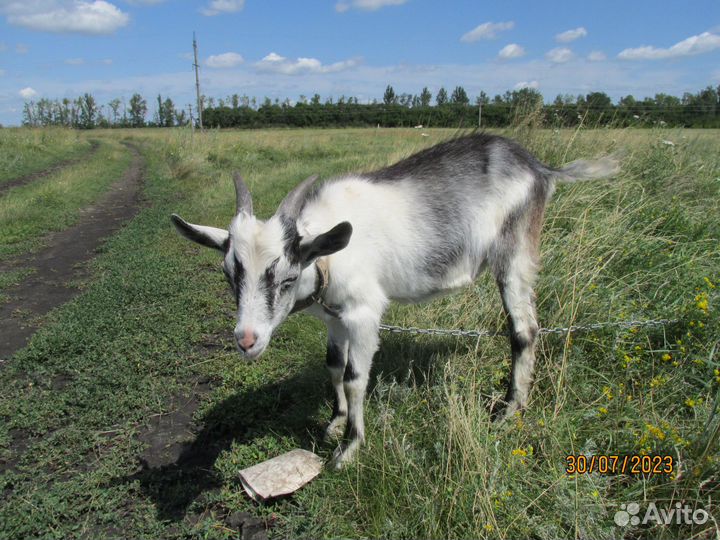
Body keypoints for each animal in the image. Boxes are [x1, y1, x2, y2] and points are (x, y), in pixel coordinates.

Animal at [171, 133, 618, 468]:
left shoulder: (364, 313)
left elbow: (355, 376)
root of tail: (540, 167)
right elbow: (333, 366)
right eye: (229, 274)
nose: (247, 340)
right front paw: (335, 422)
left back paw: (510, 410)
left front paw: (348, 449)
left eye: (288, 277)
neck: (327, 254)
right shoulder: (335, 317)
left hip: (515, 252)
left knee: (525, 329)